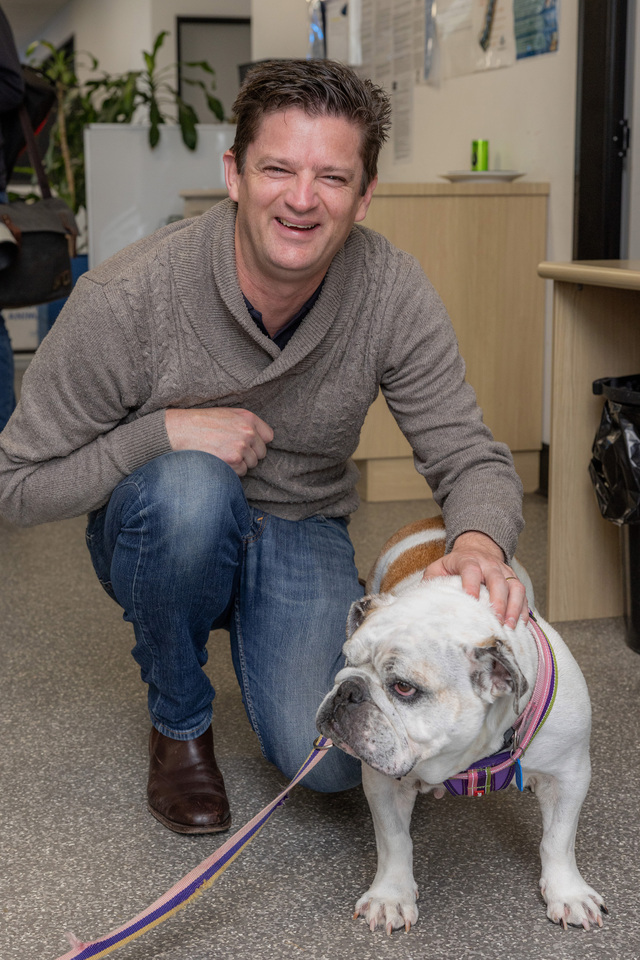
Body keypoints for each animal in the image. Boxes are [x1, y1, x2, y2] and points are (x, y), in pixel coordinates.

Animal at [316, 517, 606, 934]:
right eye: (348, 659)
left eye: (403, 688)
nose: (348, 690)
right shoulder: (383, 782)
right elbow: (394, 840)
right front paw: (390, 897)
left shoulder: (568, 776)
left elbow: (558, 839)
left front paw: (568, 893)